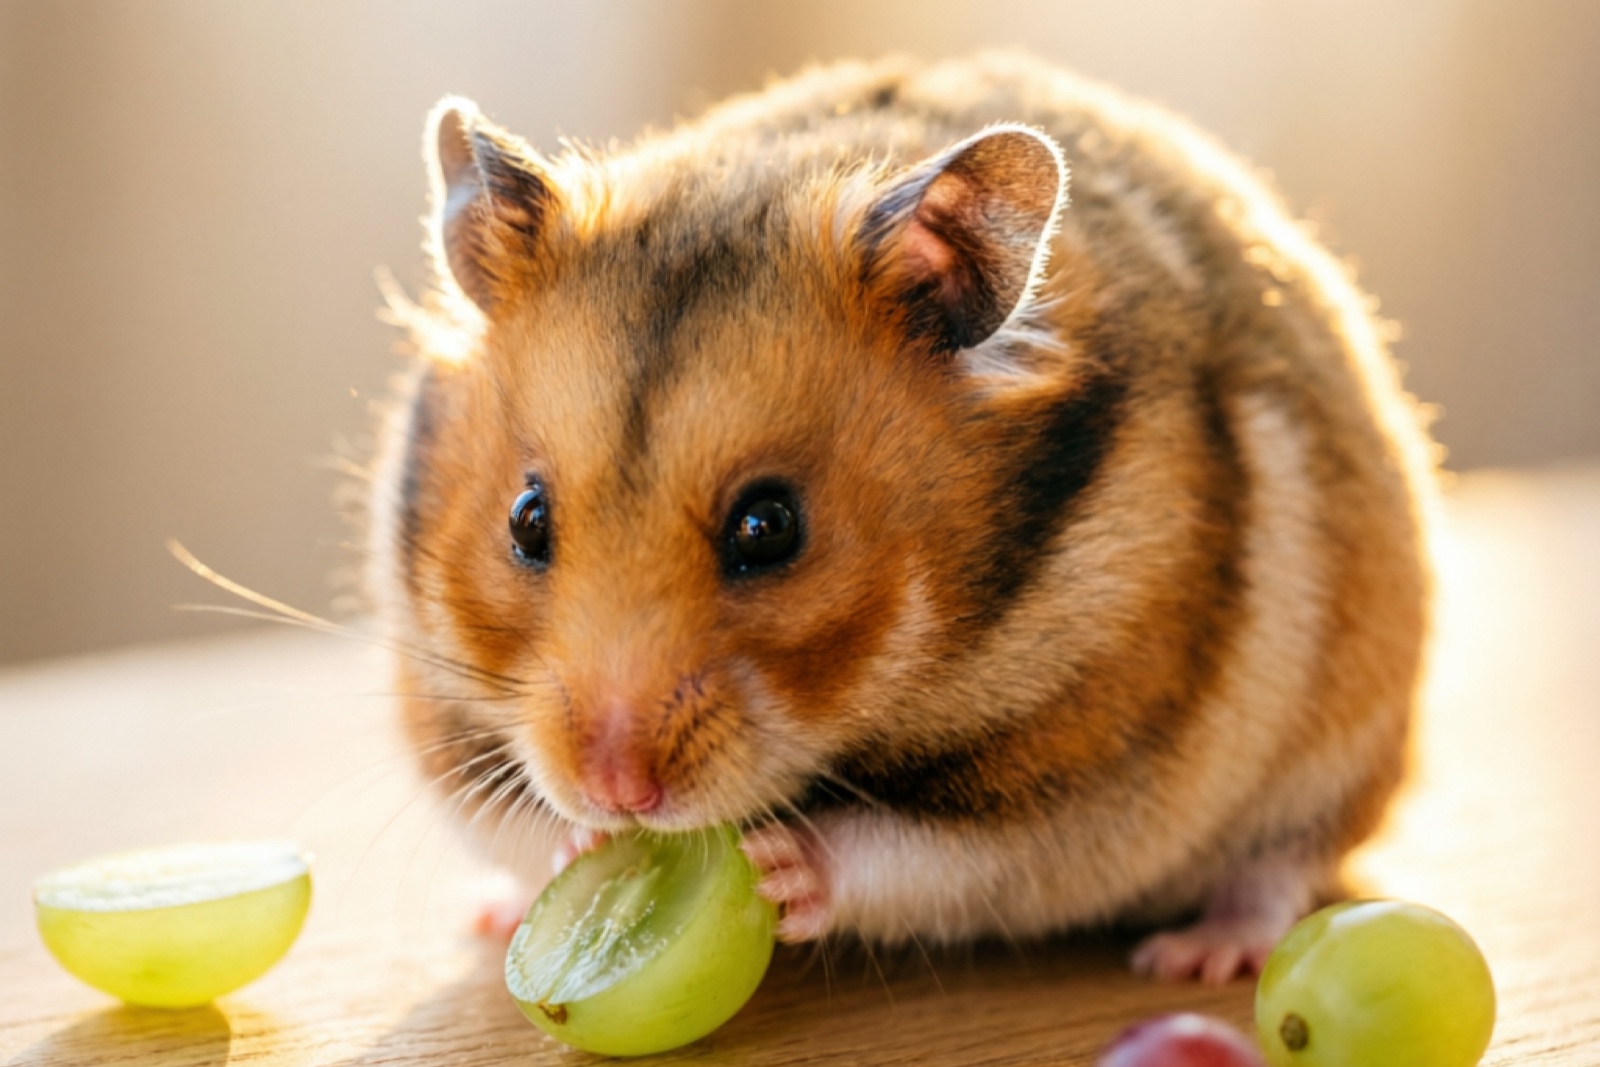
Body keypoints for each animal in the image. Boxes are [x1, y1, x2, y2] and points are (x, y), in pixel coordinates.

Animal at [365, 53, 1434, 983]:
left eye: (769, 527)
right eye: (526, 519)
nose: (615, 789)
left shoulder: (1075, 770)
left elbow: (914, 850)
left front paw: (778, 865)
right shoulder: (451, 726)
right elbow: (515, 811)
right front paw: (577, 846)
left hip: (1345, 735)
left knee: (1283, 865)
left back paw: (1202, 954)